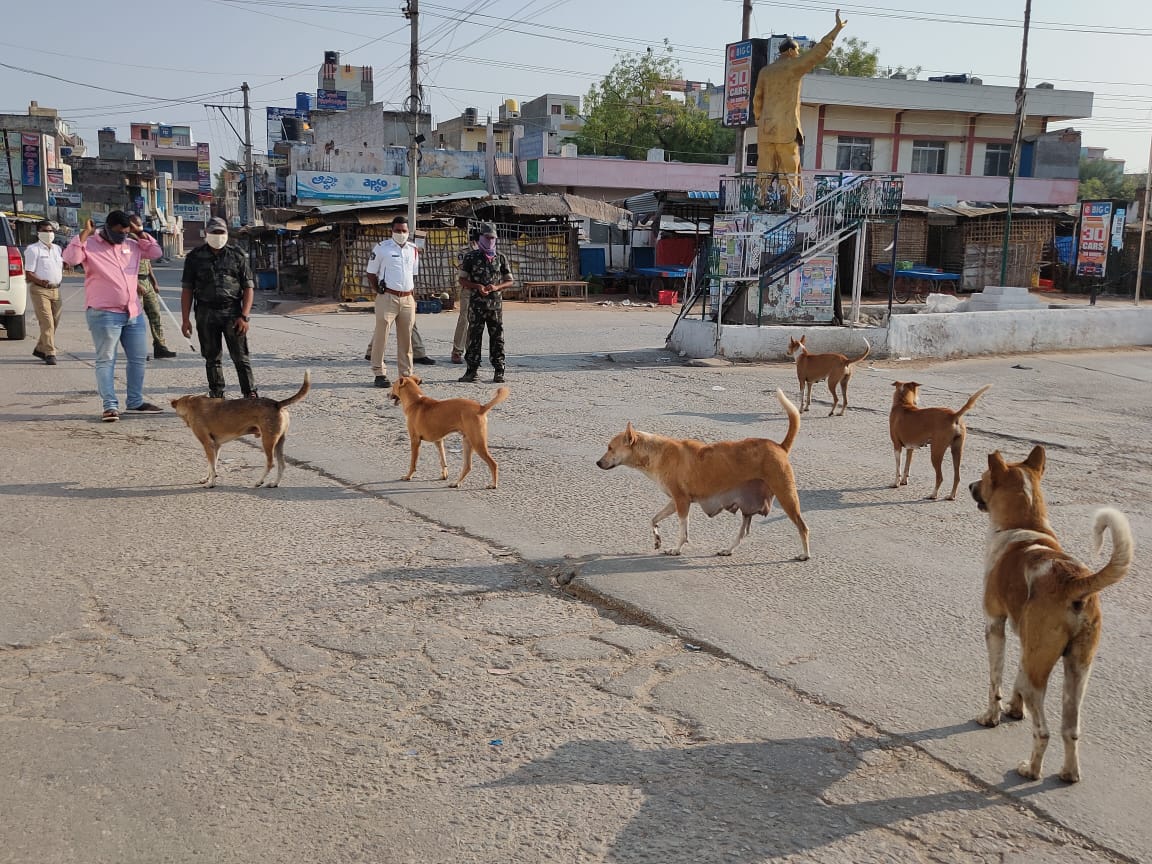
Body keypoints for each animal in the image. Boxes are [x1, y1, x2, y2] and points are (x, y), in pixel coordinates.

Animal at [168, 373, 308, 493]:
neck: (190, 403)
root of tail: (277, 403)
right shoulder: (215, 445)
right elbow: (211, 465)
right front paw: (207, 478)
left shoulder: (207, 443)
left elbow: (212, 467)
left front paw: (211, 483)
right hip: (279, 442)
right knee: (282, 465)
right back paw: (274, 483)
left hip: (267, 442)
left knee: (271, 464)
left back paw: (259, 482)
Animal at [594, 391, 811, 562]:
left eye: (610, 448)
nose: (597, 463)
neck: (656, 452)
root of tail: (779, 446)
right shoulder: (675, 501)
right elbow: (654, 519)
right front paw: (657, 539)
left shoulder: (682, 503)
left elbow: (683, 531)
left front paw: (676, 549)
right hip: (748, 506)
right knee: (744, 532)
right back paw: (728, 550)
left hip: (787, 497)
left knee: (803, 527)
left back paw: (805, 554)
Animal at [972, 446, 1133, 783]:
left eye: (983, 477)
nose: (969, 486)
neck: (1026, 525)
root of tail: (1075, 581)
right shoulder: (1027, 645)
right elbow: (1016, 678)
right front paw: (1014, 710)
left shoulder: (995, 626)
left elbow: (995, 681)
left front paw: (992, 716)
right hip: (1077, 671)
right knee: (1070, 729)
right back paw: (1069, 773)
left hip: (1041, 678)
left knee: (1043, 731)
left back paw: (1032, 770)